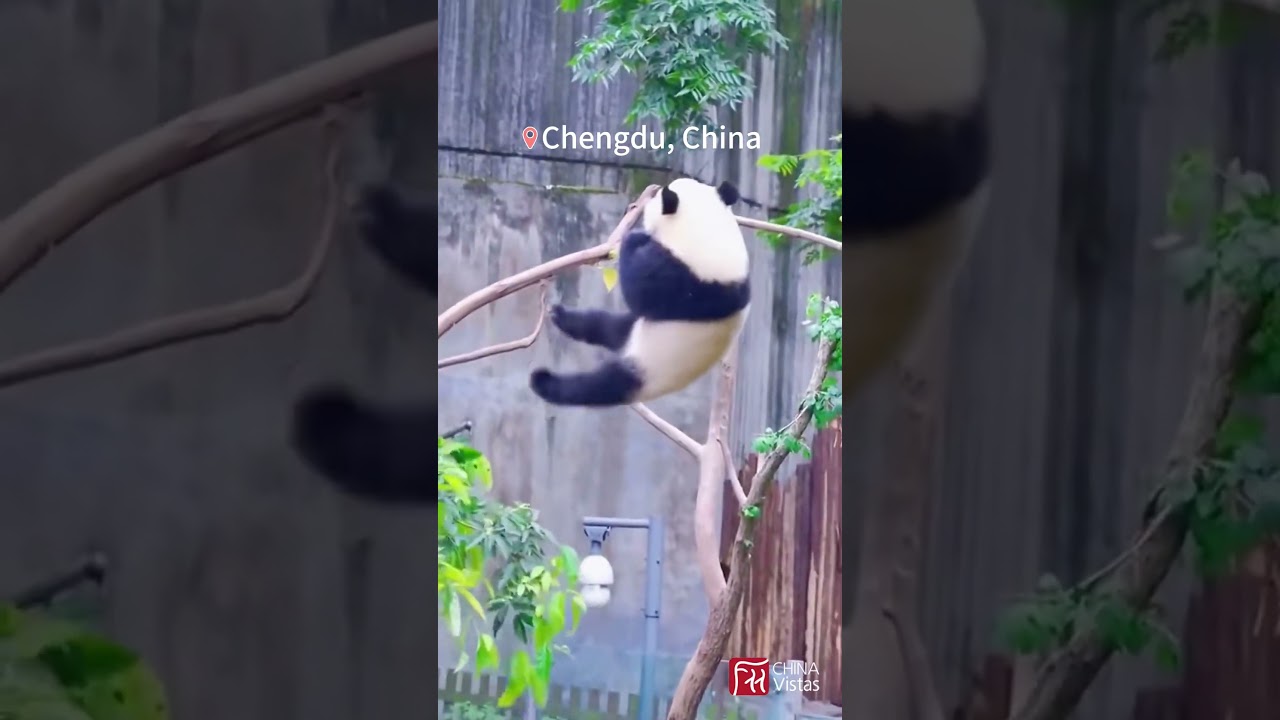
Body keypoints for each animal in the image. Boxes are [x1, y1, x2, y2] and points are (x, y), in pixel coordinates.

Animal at [529, 177, 750, 407]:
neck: (712, 235)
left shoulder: (686, 284)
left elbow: (640, 292)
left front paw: (635, 238)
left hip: (650, 368)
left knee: (599, 385)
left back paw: (544, 381)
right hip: (637, 330)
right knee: (606, 326)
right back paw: (562, 316)